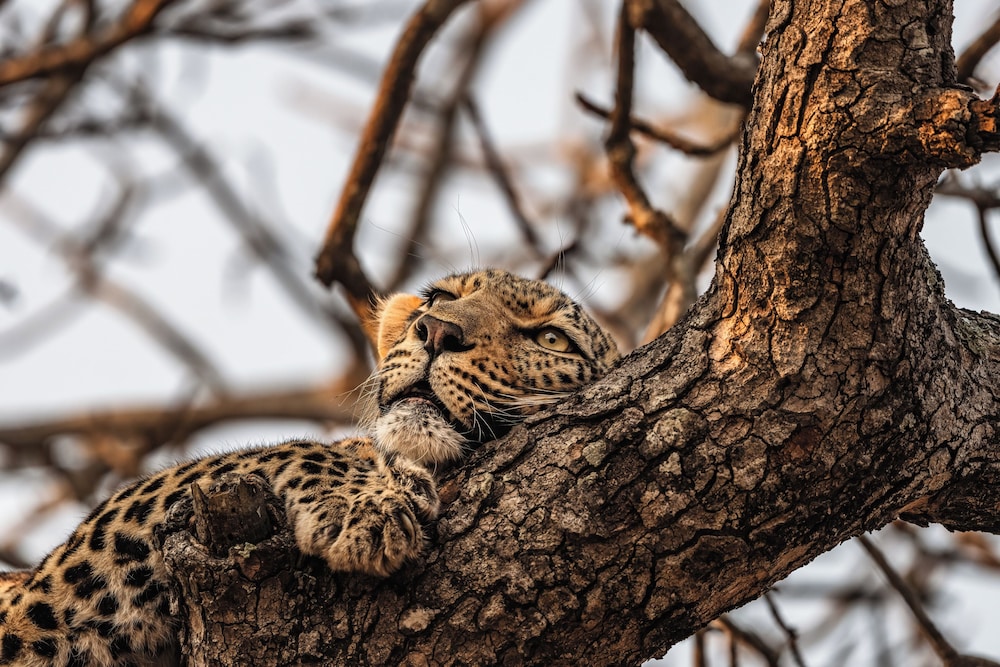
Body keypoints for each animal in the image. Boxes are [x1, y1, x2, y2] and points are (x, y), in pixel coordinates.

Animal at [0, 269, 620, 667]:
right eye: (438, 298)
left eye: (551, 338)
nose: (438, 331)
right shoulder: (65, 582)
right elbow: (285, 448)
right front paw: (366, 507)